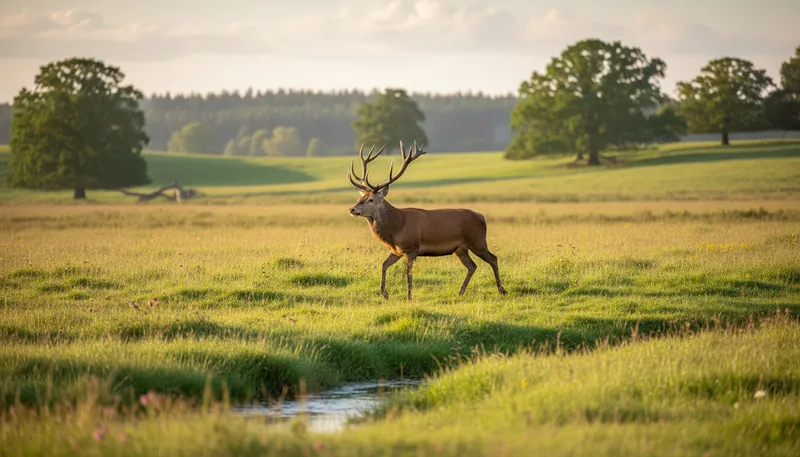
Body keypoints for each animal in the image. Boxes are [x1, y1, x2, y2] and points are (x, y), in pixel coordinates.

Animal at [348, 141, 507, 301]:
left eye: (371, 199)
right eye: (360, 198)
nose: (352, 209)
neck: (396, 227)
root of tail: (482, 217)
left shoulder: (411, 248)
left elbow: (408, 275)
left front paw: (409, 298)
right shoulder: (396, 251)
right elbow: (384, 265)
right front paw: (385, 294)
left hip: (477, 241)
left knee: (493, 258)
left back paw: (501, 290)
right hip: (461, 248)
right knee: (472, 266)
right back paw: (461, 292)